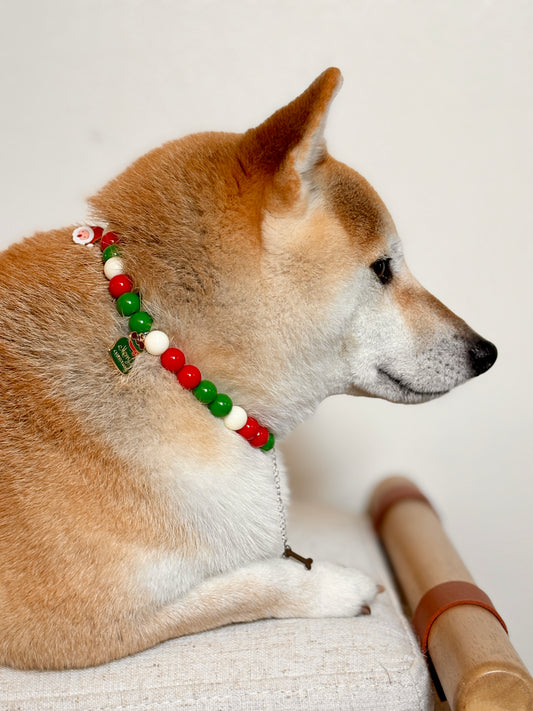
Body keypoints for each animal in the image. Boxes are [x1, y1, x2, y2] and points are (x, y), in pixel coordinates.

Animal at [0, 65, 494, 668]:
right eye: (383, 268)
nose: (486, 352)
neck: (170, 364)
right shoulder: (70, 629)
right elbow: (261, 580)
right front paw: (335, 585)